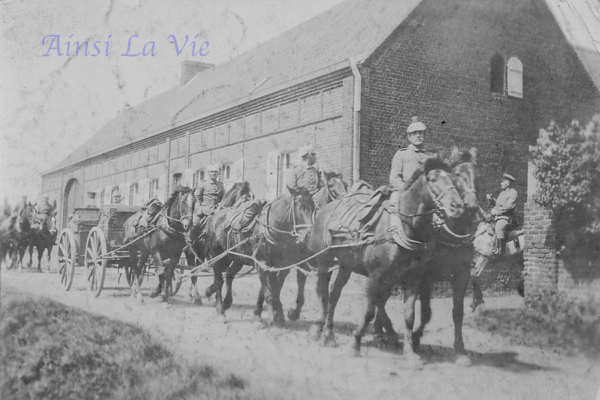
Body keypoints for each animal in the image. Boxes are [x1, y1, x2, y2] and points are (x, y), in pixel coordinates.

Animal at [306, 158, 465, 369]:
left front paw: (410, 354)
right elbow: (368, 311)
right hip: (324, 262)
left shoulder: (413, 279)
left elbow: (409, 316)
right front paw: (354, 346)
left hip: (346, 265)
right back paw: (318, 331)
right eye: (432, 179)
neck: (403, 227)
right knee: (322, 293)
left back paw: (329, 334)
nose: (457, 206)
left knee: (334, 294)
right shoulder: (375, 276)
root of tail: (325, 210)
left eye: (452, 179)